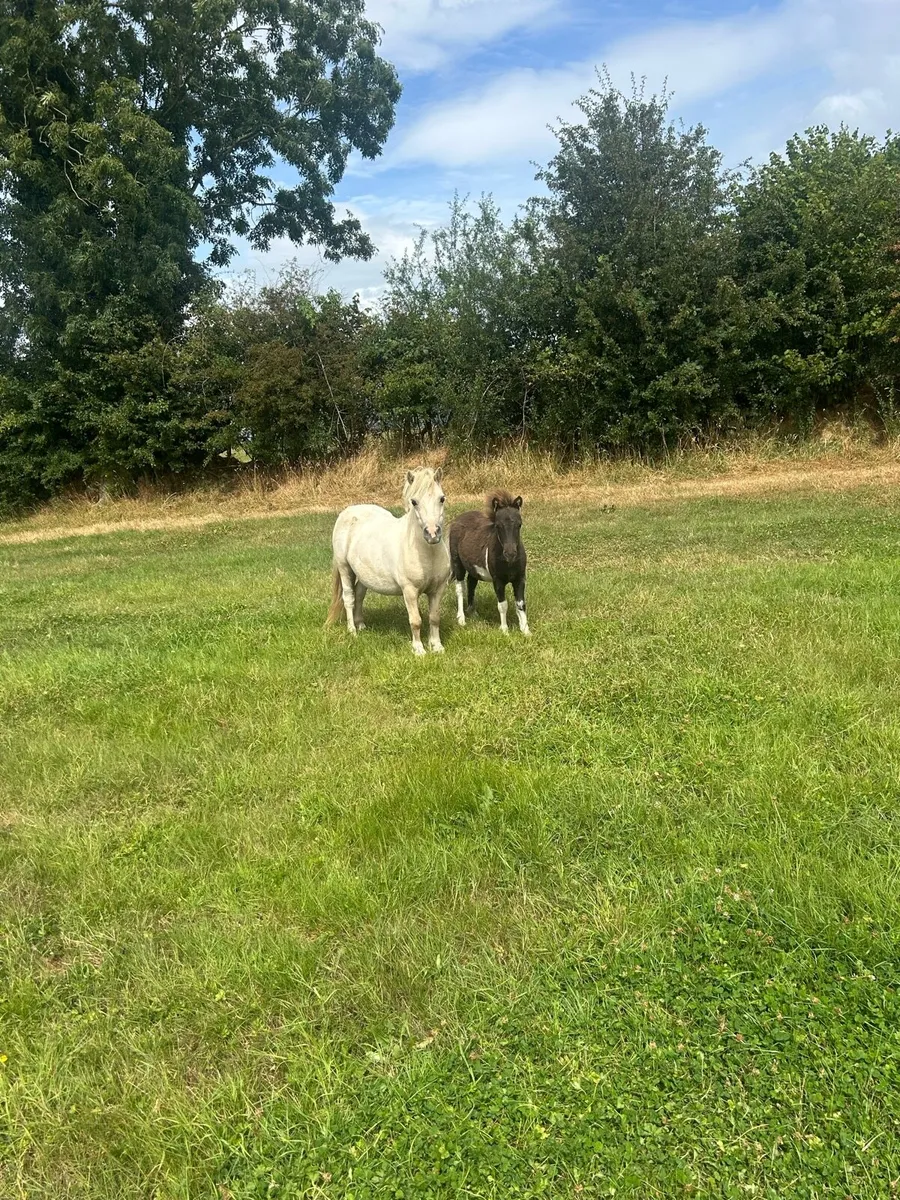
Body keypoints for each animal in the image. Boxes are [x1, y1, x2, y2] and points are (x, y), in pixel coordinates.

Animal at [326, 467, 451, 655]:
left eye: (442, 498)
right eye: (414, 502)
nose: (432, 533)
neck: (427, 553)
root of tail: (348, 512)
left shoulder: (438, 589)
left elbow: (434, 618)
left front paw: (437, 647)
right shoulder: (409, 591)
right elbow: (416, 620)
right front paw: (419, 650)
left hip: (364, 574)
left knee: (359, 595)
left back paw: (361, 625)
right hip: (344, 568)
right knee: (349, 597)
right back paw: (352, 631)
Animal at [449, 490, 530, 636]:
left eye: (519, 524)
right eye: (498, 525)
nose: (510, 553)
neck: (509, 563)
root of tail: (457, 519)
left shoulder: (520, 579)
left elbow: (521, 604)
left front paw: (526, 631)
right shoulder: (498, 580)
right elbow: (503, 605)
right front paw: (505, 631)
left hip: (473, 569)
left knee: (471, 584)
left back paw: (473, 613)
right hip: (457, 564)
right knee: (460, 589)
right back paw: (461, 619)